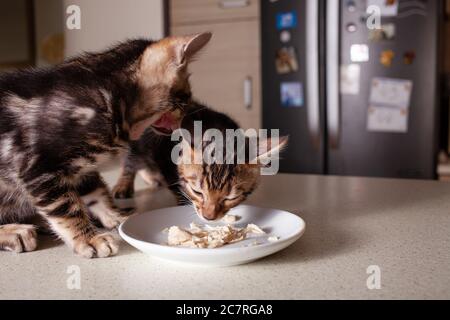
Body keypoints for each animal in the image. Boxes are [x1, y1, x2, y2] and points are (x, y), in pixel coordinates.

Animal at [0, 32, 213, 258]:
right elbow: (66, 207)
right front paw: (88, 239)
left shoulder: (82, 168)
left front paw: (116, 215)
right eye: (185, 98)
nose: (185, 120)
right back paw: (16, 232)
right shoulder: (39, 167)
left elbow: (97, 191)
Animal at [113, 102, 288, 220]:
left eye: (230, 198)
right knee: (130, 161)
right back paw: (123, 185)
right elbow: (177, 188)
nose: (208, 217)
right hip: (137, 143)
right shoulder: (164, 159)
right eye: (197, 191)